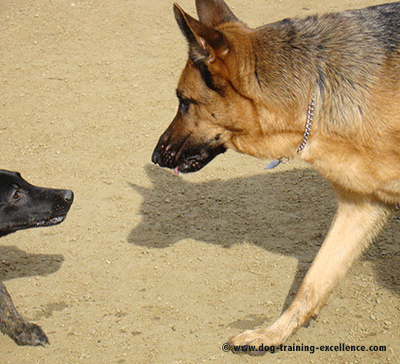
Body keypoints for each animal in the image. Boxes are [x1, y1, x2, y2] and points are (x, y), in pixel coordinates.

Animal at [151, 0, 400, 354]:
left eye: (184, 101)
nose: (155, 157)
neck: (315, 89)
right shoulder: (363, 206)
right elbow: (312, 282)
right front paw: (272, 334)